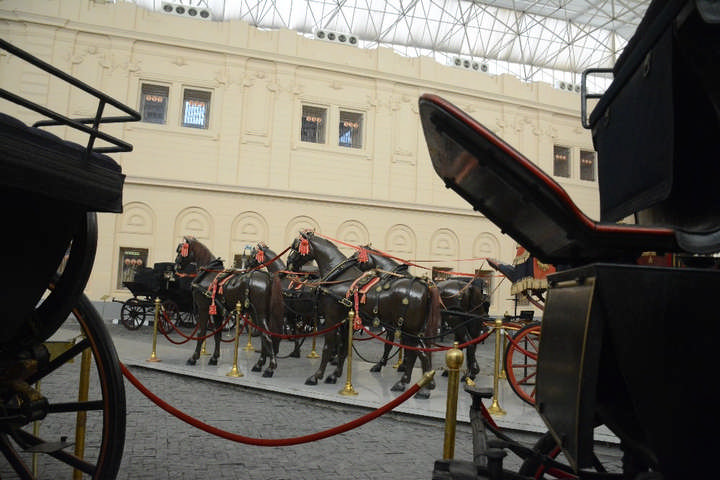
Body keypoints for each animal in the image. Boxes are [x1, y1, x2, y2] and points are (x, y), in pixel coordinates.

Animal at [176, 236, 282, 376]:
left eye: (180, 250)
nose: (176, 265)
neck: (208, 274)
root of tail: (268, 277)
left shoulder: (203, 309)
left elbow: (201, 332)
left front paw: (194, 357)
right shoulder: (217, 312)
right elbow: (217, 334)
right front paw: (214, 358)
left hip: (260, 314)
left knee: (267, 337)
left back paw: (270, 368)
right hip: (260, 315)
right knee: (264, 337)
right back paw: (259, 365)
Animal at [286, 231, 438, 396]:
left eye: (296, 246)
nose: (289, 262)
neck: (340, 279)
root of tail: (424, 286)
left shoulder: (332, 319)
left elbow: (328, 346)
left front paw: (317, 375)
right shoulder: (346, 321)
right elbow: (344, 347)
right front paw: (335, 375)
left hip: (408, 329)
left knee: (417, 353)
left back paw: (417, 387)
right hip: (412, 330)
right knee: (418, 353)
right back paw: (412, 384)